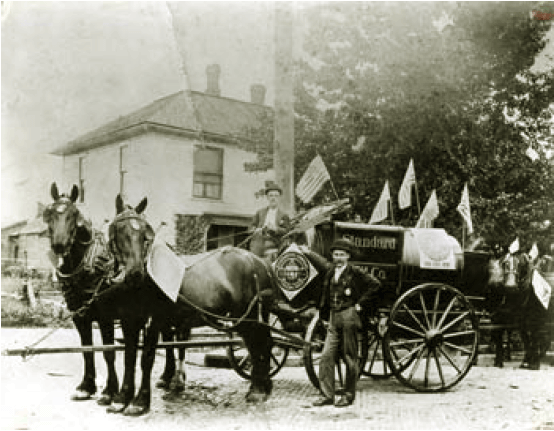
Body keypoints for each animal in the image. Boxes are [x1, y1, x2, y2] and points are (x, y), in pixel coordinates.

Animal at [42, 183, 118, 404]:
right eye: (50, 213)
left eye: (74, 214)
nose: (59, 245)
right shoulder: (79, 316)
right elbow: (86, 349)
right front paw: (86, 387)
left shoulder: (106, 317)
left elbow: (109, 352)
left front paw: (110, 391)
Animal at [84, 195, 274, 416]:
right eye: (120, 230)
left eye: (145, 233)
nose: (135, 273)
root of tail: (259, 261)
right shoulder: (129, 319)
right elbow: (129, 357)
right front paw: (122, 398)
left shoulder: (156, 320)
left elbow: (147, 357)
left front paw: (140, 401)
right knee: (259, 343)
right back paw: (261, 386)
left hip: (247, 315)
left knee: (260, 343)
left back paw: (258, 389)